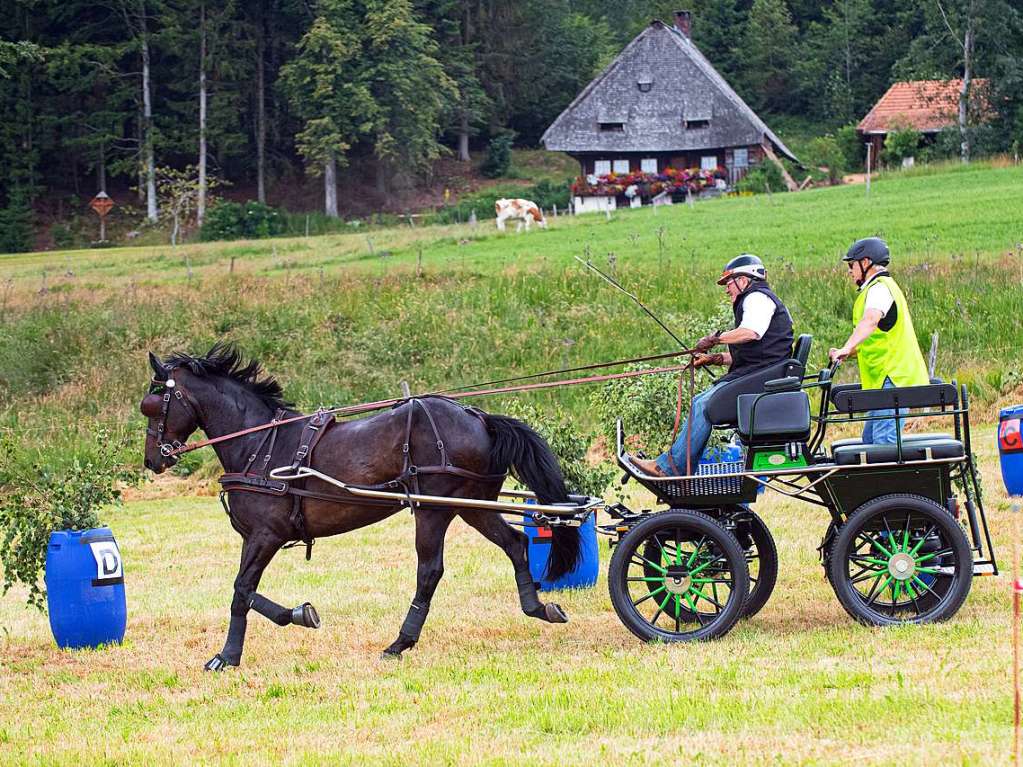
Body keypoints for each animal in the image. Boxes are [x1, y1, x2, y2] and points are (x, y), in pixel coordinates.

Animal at [140, 345, 581, 670]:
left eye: (153, 403)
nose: (152, 460)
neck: (260, 444)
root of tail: (479, 417)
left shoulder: (264, 536)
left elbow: (241, 591)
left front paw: (228, 656)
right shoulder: (264, 538)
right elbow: (247, 592)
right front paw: (299, 614)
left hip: (433, 509)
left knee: (430, 571)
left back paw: (400, 642)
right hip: (473, 505)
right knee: (514, 544)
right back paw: (538, 607)